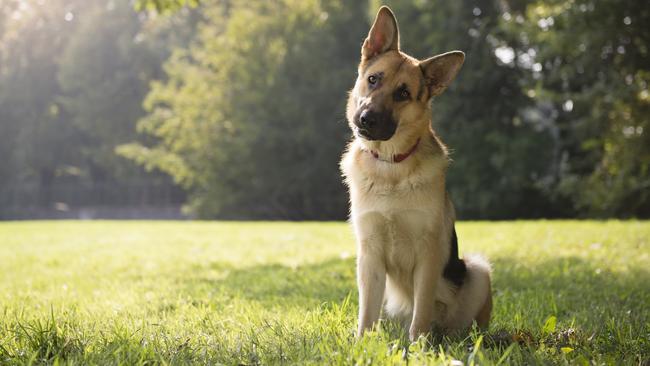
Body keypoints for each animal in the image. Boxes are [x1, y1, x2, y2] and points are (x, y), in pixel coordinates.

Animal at [340, 7, 492, 342]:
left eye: (403, 93)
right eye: (373, 79)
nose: (366, 119)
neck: (390, 165)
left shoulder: (428, 255)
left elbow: (421, 309)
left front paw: (419, 345)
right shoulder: (369, 256)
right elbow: (366, 313)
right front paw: (361, 344)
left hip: (477, 270)